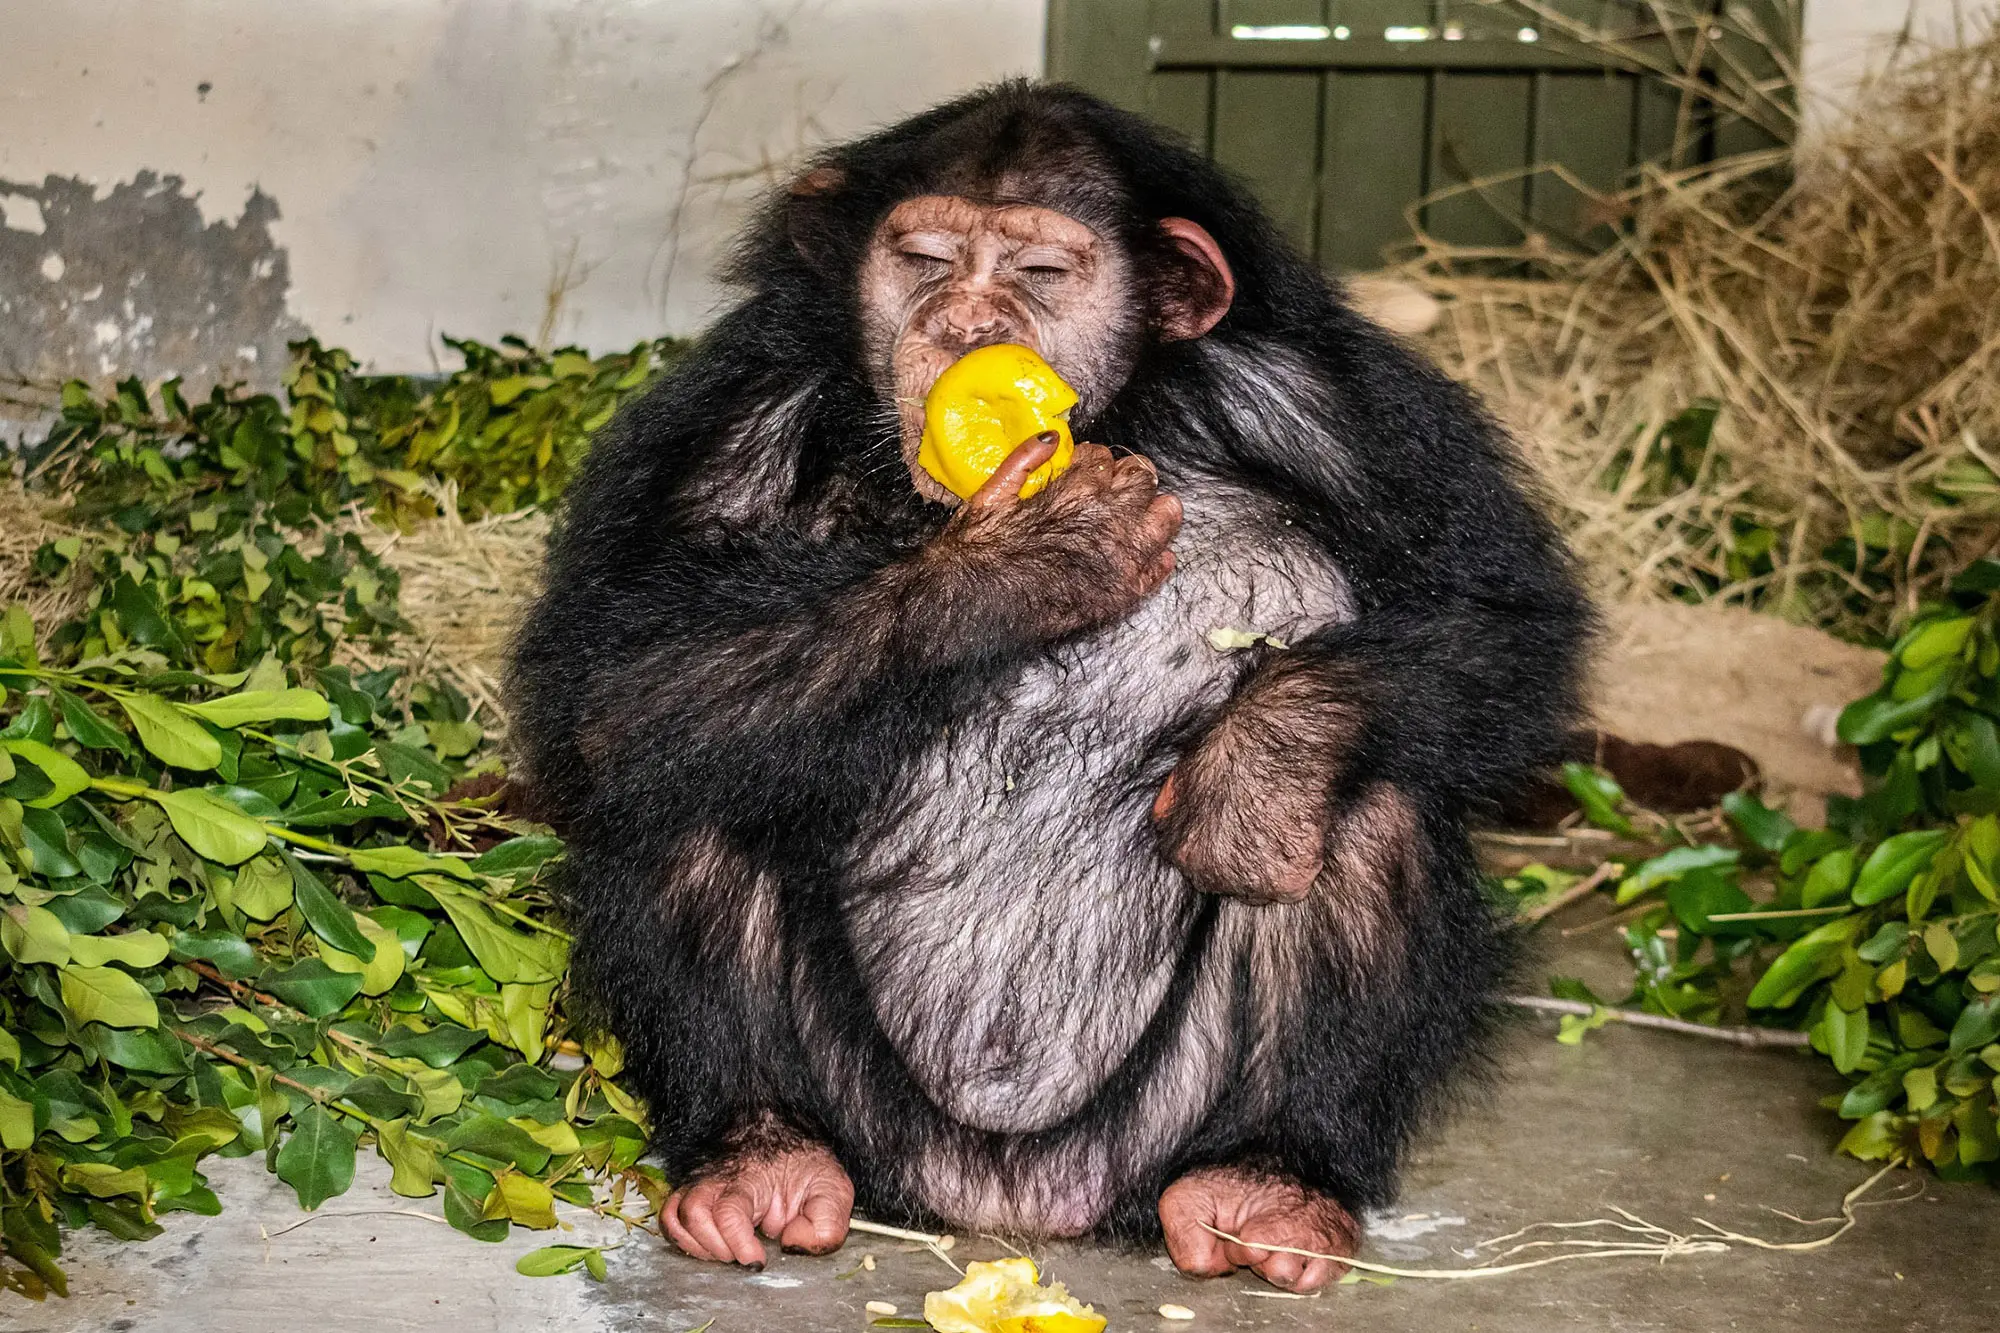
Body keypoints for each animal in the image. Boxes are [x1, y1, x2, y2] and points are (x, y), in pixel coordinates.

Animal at [508, 82, 1592, 1294]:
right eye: (925, 257)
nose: (967, 320)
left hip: (1155, 1124)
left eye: (1037, 271)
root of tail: (1010, 1204)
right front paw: (1025, 561)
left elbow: (1497, 614)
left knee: (1364, 808)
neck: (1121, 415)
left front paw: (1256, 764)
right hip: (875, 1121)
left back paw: (1271, 1177)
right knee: (701, 780)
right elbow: (616, 678)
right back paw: (760, 1156)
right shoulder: (730, 415)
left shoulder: (1333, 403)